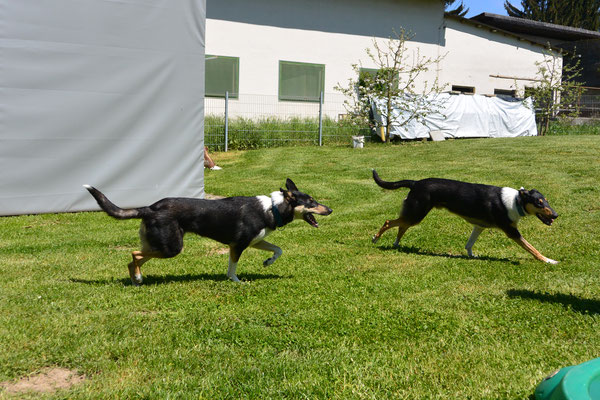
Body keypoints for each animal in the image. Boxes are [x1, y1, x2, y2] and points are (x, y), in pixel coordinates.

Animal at [83, 178, 332, 284]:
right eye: (311, 202)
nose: (330, 209)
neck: (272, 208)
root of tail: (150, 207)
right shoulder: (238, 245)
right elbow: (232, 268)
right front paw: (236, 281)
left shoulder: (255, 241)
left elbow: (278, 250)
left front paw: (267, 262)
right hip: (171, 247)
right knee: (134, 254)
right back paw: (138, 277)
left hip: (160, 244)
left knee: (133, 259)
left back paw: (136, 279)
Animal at [370, 170, 556, 264]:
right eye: (539, 203)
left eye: (546, 200)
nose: (556, 214)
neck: (516, 201)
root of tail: (415, 182)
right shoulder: (511, 231)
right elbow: (532, 248)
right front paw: (548, 260)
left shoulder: (479, 226)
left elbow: (469, 244)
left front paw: (471, 256)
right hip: (416, 213)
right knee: (389, 222)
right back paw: (376, 238)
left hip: (414, 214)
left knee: (401, 225)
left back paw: (396, 244)